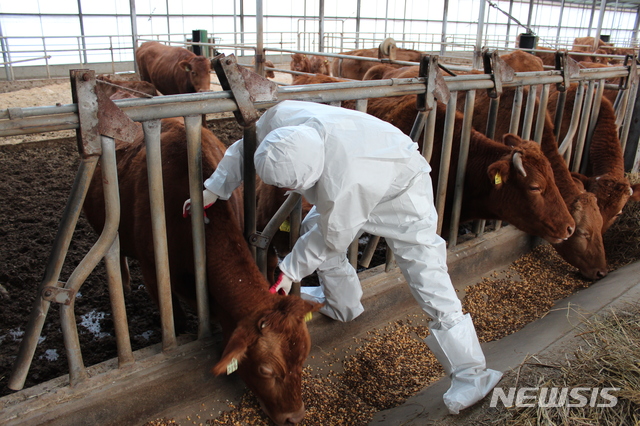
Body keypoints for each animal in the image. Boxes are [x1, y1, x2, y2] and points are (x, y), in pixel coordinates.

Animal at [82, 117, 322, 426]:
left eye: (303, 358)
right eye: (265, 370)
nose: (296, 416)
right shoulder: (153, 270)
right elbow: (176, 322)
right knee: (116, 251)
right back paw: (122, 282)